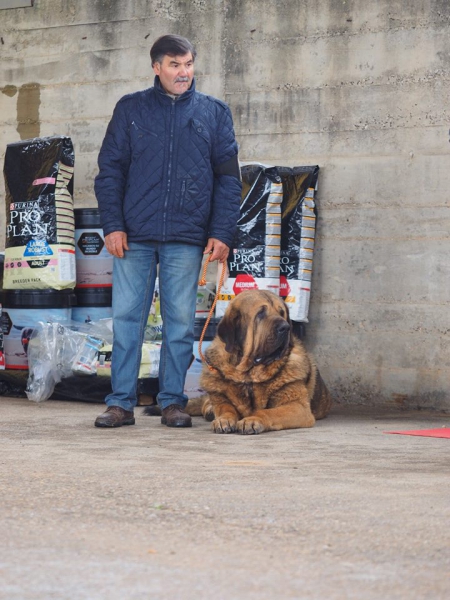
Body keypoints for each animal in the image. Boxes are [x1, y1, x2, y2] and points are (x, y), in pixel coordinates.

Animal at [199, 290, 332, 434]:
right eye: (261, 313)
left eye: (282, 313)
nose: (285, 327)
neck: (249, 374)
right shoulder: (221, 398)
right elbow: (226, 408)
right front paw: (223, 419)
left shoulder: (297, 406)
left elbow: (268, 412)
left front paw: (252, 420)